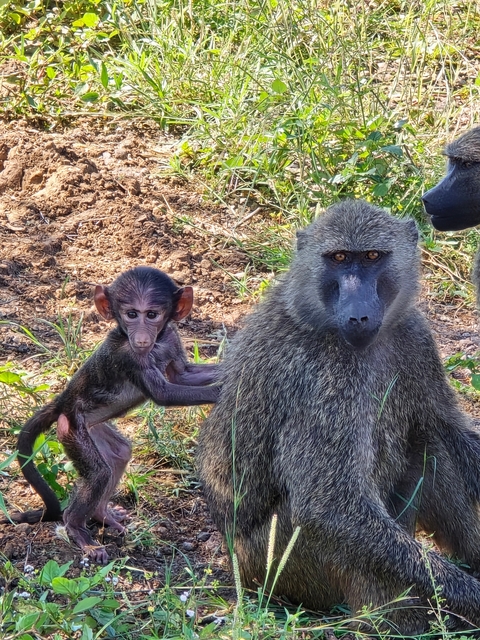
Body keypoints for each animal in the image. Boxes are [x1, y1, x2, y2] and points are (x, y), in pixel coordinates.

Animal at [10, 266, 220, 563]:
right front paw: (222, 389)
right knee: (98, 473)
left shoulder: (171, 338)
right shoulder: (128, 356)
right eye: (131, 314)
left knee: (119, 454)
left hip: (94, 427)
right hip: (72, 429)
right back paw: (77, 529)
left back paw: (102, 514)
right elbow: (163, 394)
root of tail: (63, 402)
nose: (141, 337)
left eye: (152, 315)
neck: (155, 346)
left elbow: (182, 375)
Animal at [197, 199, 480, 633]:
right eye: (339, 258)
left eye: (373, 257)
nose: (359, 315)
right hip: (277, 565)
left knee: (430, 439)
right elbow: (329, 508)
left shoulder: (415, 336)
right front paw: (475, 598)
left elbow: (450, 427)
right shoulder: (322, 377)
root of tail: (234, 561)